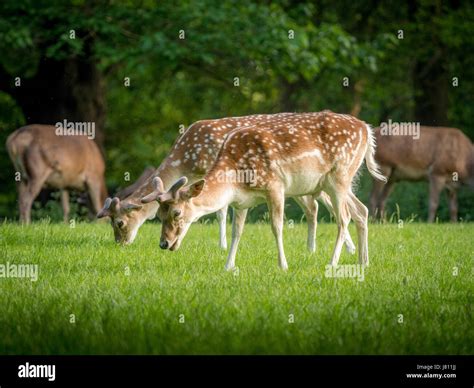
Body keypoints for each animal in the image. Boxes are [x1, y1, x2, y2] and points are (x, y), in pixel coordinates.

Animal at [98, 112, 354, 253]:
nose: (120, 243)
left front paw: (222, 246)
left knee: (330, 205)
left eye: (119, 223)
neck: (187, 160)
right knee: (317, 206)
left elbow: (220, 211)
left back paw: (347, 248)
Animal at [141, 110, 386, 270]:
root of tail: (366, 129)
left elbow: (276, 227)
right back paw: (364, 261)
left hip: (340, 176)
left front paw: (283, 265)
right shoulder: (241, 201)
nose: (163, 243)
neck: (235, 177)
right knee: (361, 211)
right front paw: (228, 266)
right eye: (158, 214)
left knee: (343, 217)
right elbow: (237, 231)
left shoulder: (275, 186)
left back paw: (333, 262)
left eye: (177, 212)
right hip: (335, 182)